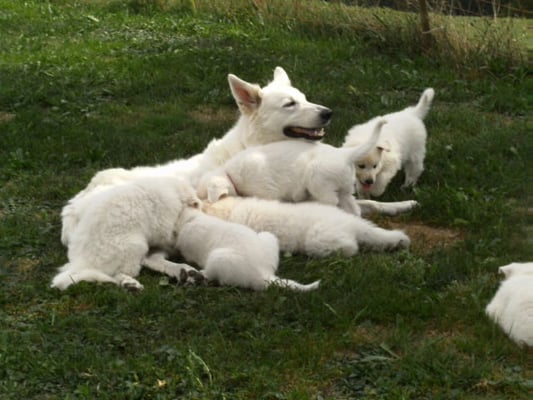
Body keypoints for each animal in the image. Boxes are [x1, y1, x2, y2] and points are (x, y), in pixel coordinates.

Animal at [51, 177, 203, 291]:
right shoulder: (163, 224)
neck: (173, 190)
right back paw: (130, 283)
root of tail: (80, 262)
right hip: (136, 247)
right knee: (116, 272)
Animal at [173, 207, 320, 291]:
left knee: (214, 276)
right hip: (268, 236)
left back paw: (199, 274)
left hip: (217, 257)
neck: (191, 219)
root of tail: (264, 274)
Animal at [197, 118, 387, 216]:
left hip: (319, 181)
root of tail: (346, 154)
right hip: (345, 188)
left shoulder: (266, 190)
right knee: (353, 208)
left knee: (331, 203)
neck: (229, 173)